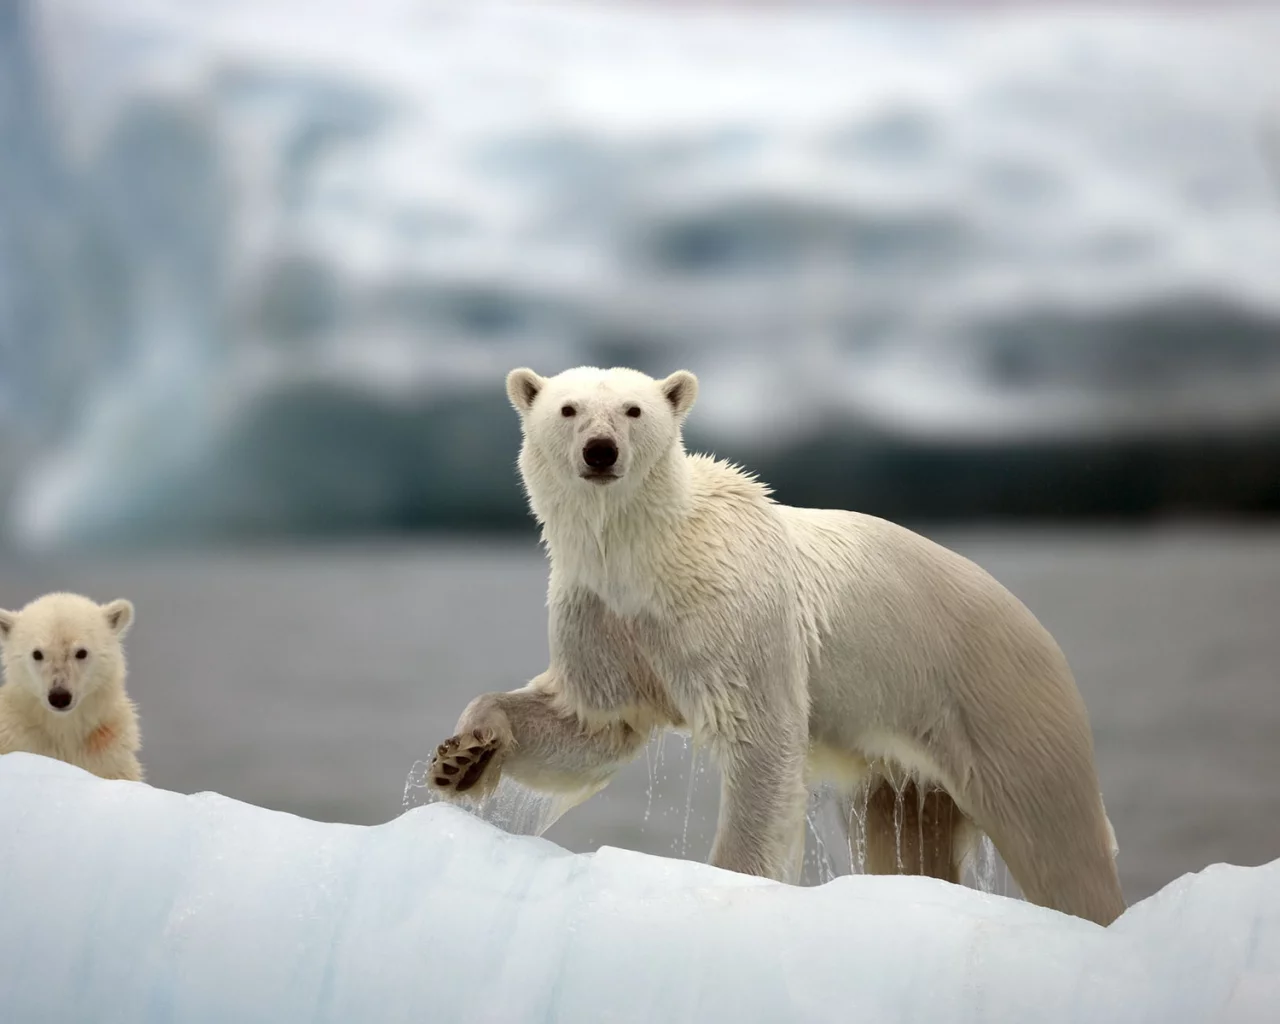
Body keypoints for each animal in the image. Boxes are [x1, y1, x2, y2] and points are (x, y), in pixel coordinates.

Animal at [0, 591, 144, 783]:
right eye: (37, 653)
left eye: (81, 652)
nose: (59, 696)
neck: (64, 729)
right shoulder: (19, 739)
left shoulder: (107, 750)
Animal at [432, 368, 1131, 926]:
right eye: (568, 409)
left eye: (634, 410)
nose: (600, 451)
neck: (646, 556)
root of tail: (1036, 628)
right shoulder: (601, 615)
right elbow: (594, 724)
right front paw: (463, 756)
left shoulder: (733, 611)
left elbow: (759, 740)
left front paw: (730, 881)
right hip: (904, 766)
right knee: (908, 838)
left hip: (1000, 703)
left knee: (1058, 841)